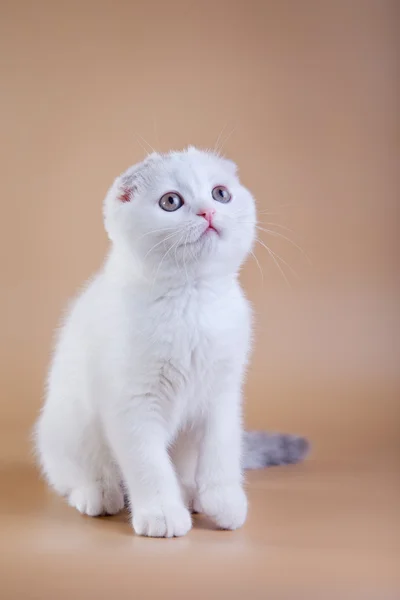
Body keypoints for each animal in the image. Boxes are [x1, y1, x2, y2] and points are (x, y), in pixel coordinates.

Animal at [33, 148, 253, 536]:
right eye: (171, 201)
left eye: (221, 194)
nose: (208, 212)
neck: (191, 299)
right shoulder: (132, 401)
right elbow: (148, 463)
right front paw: (163, 514)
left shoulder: (222, 393)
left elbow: (222, 450)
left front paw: (224, 501)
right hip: (68, 425)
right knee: (73, 476)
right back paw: (99, 494)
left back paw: (192, 494)